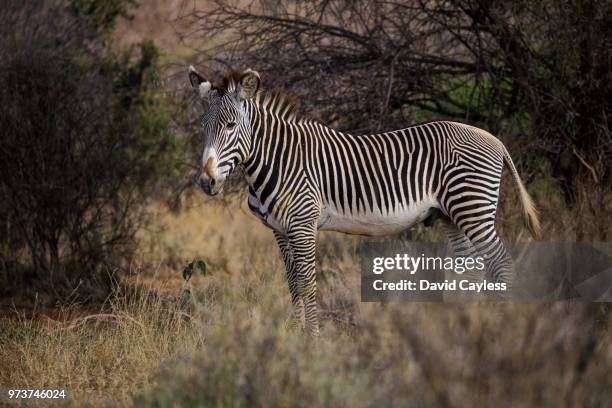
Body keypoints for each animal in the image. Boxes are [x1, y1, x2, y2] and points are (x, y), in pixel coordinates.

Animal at [188, 66, 540, 334]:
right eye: (203, 127)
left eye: (231, 125)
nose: (207, 182)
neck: (278, 158)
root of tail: (494, 139)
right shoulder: (279, 230)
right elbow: (292, 283)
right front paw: (294, 335)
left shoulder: (303, 223)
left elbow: (307, 283)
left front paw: (312, 340)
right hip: (452, 215)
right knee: (470, 271)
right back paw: (462, 327)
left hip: (473, 208)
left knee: (502, 265)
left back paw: (501, 328)